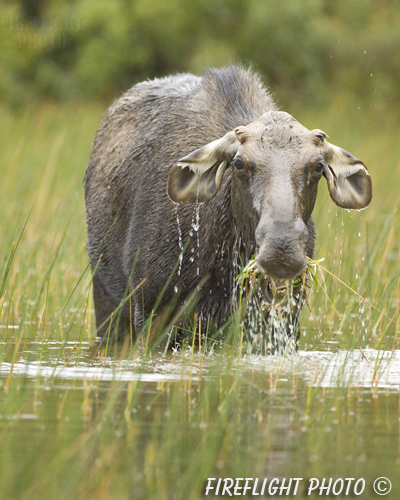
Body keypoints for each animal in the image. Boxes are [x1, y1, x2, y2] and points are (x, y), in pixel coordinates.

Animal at [84, 64, 372, 350]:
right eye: (239, 164)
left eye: (318, 166)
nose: (282, 250)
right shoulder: (153, 310)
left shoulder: (281, 317)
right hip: (107, 300)